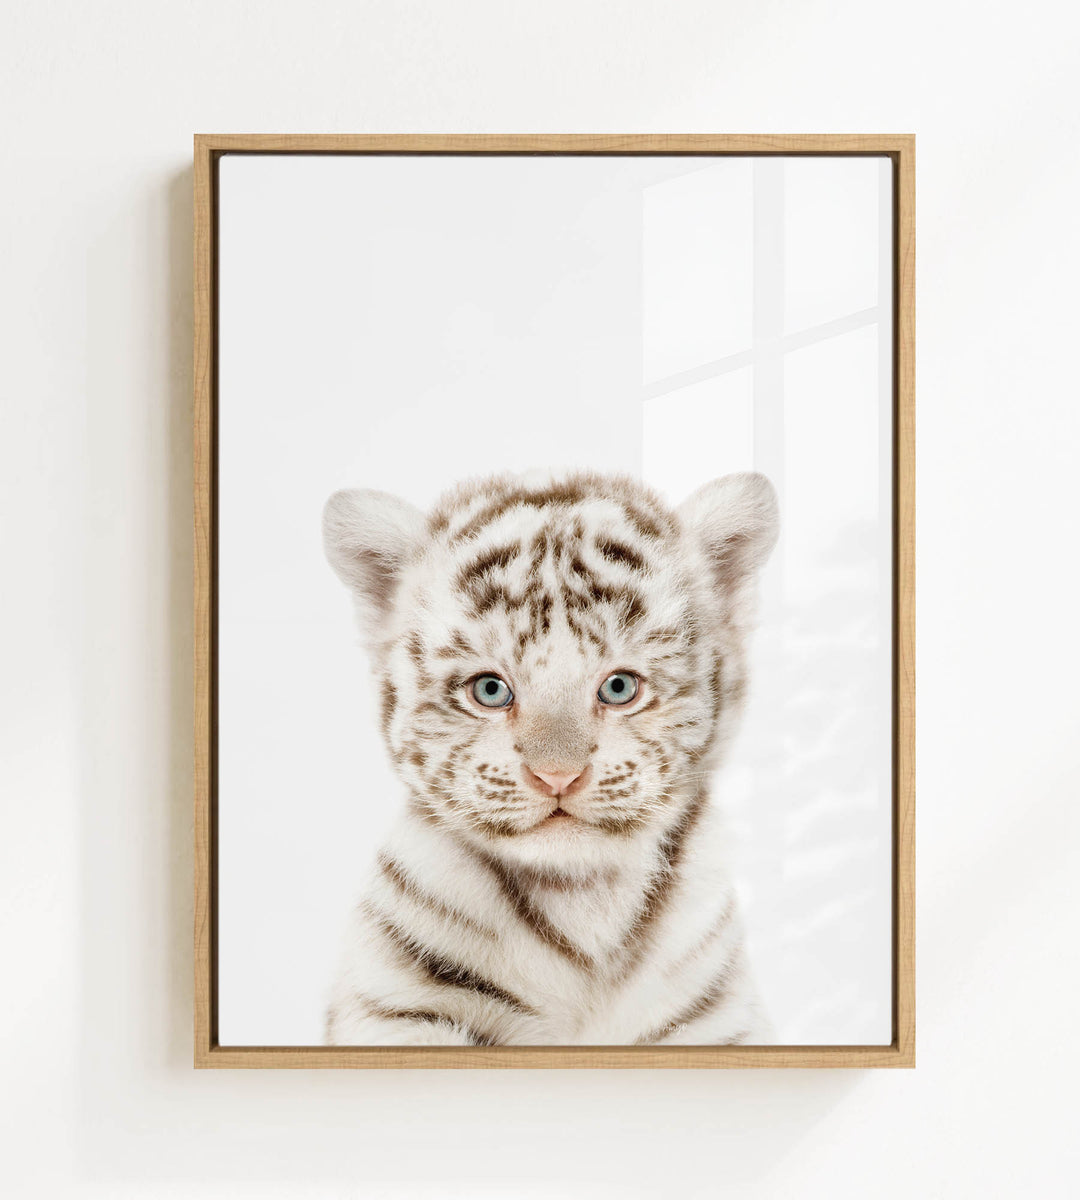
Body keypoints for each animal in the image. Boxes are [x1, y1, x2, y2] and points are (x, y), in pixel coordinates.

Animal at [321, 468, 778, 1046]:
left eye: (620, 687)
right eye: (490, 690)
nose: (557, 776)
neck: (582, 901)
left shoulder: (716, 1021)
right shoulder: (400, 1009)